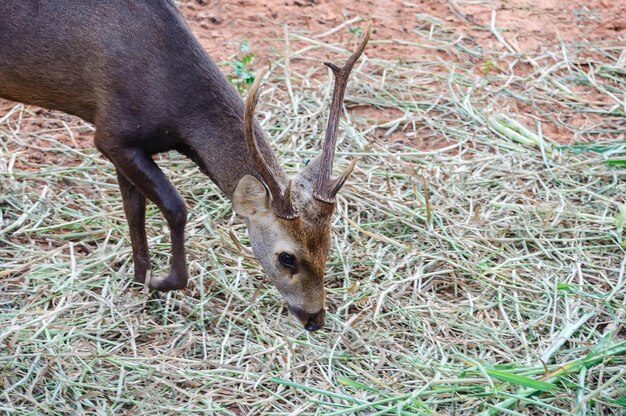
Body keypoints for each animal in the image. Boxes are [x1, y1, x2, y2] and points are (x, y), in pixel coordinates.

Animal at [0, 0, 368, 332]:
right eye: (286, 257)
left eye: (328, 245)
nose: (315, 319)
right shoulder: (111, 132)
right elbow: (176, 207)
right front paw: (161, 282)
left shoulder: (124, 145)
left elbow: (134, 212)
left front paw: (140, 283)